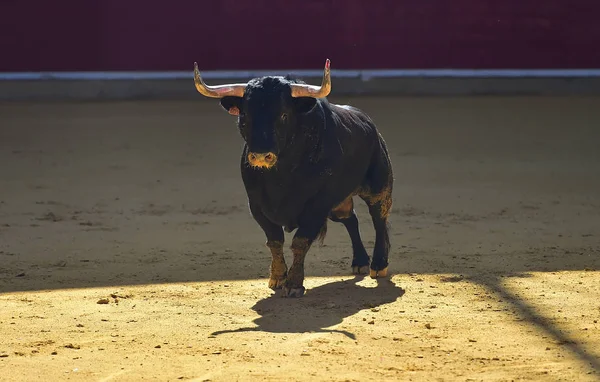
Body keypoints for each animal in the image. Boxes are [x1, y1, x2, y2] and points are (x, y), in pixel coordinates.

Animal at [192, 60, 396, 298]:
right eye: (245, 116)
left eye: (283, 115)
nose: (260, 155)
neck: (281, 175)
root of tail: (370, 126)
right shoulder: (257, 205)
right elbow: (275, 240)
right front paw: (278, 277)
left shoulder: (317, 205)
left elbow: (300, 241)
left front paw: (294, 283)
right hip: (339, 204)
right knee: (351, 219)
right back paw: (360, 261)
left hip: (379, 187)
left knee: (379, 219)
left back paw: (378, 265)